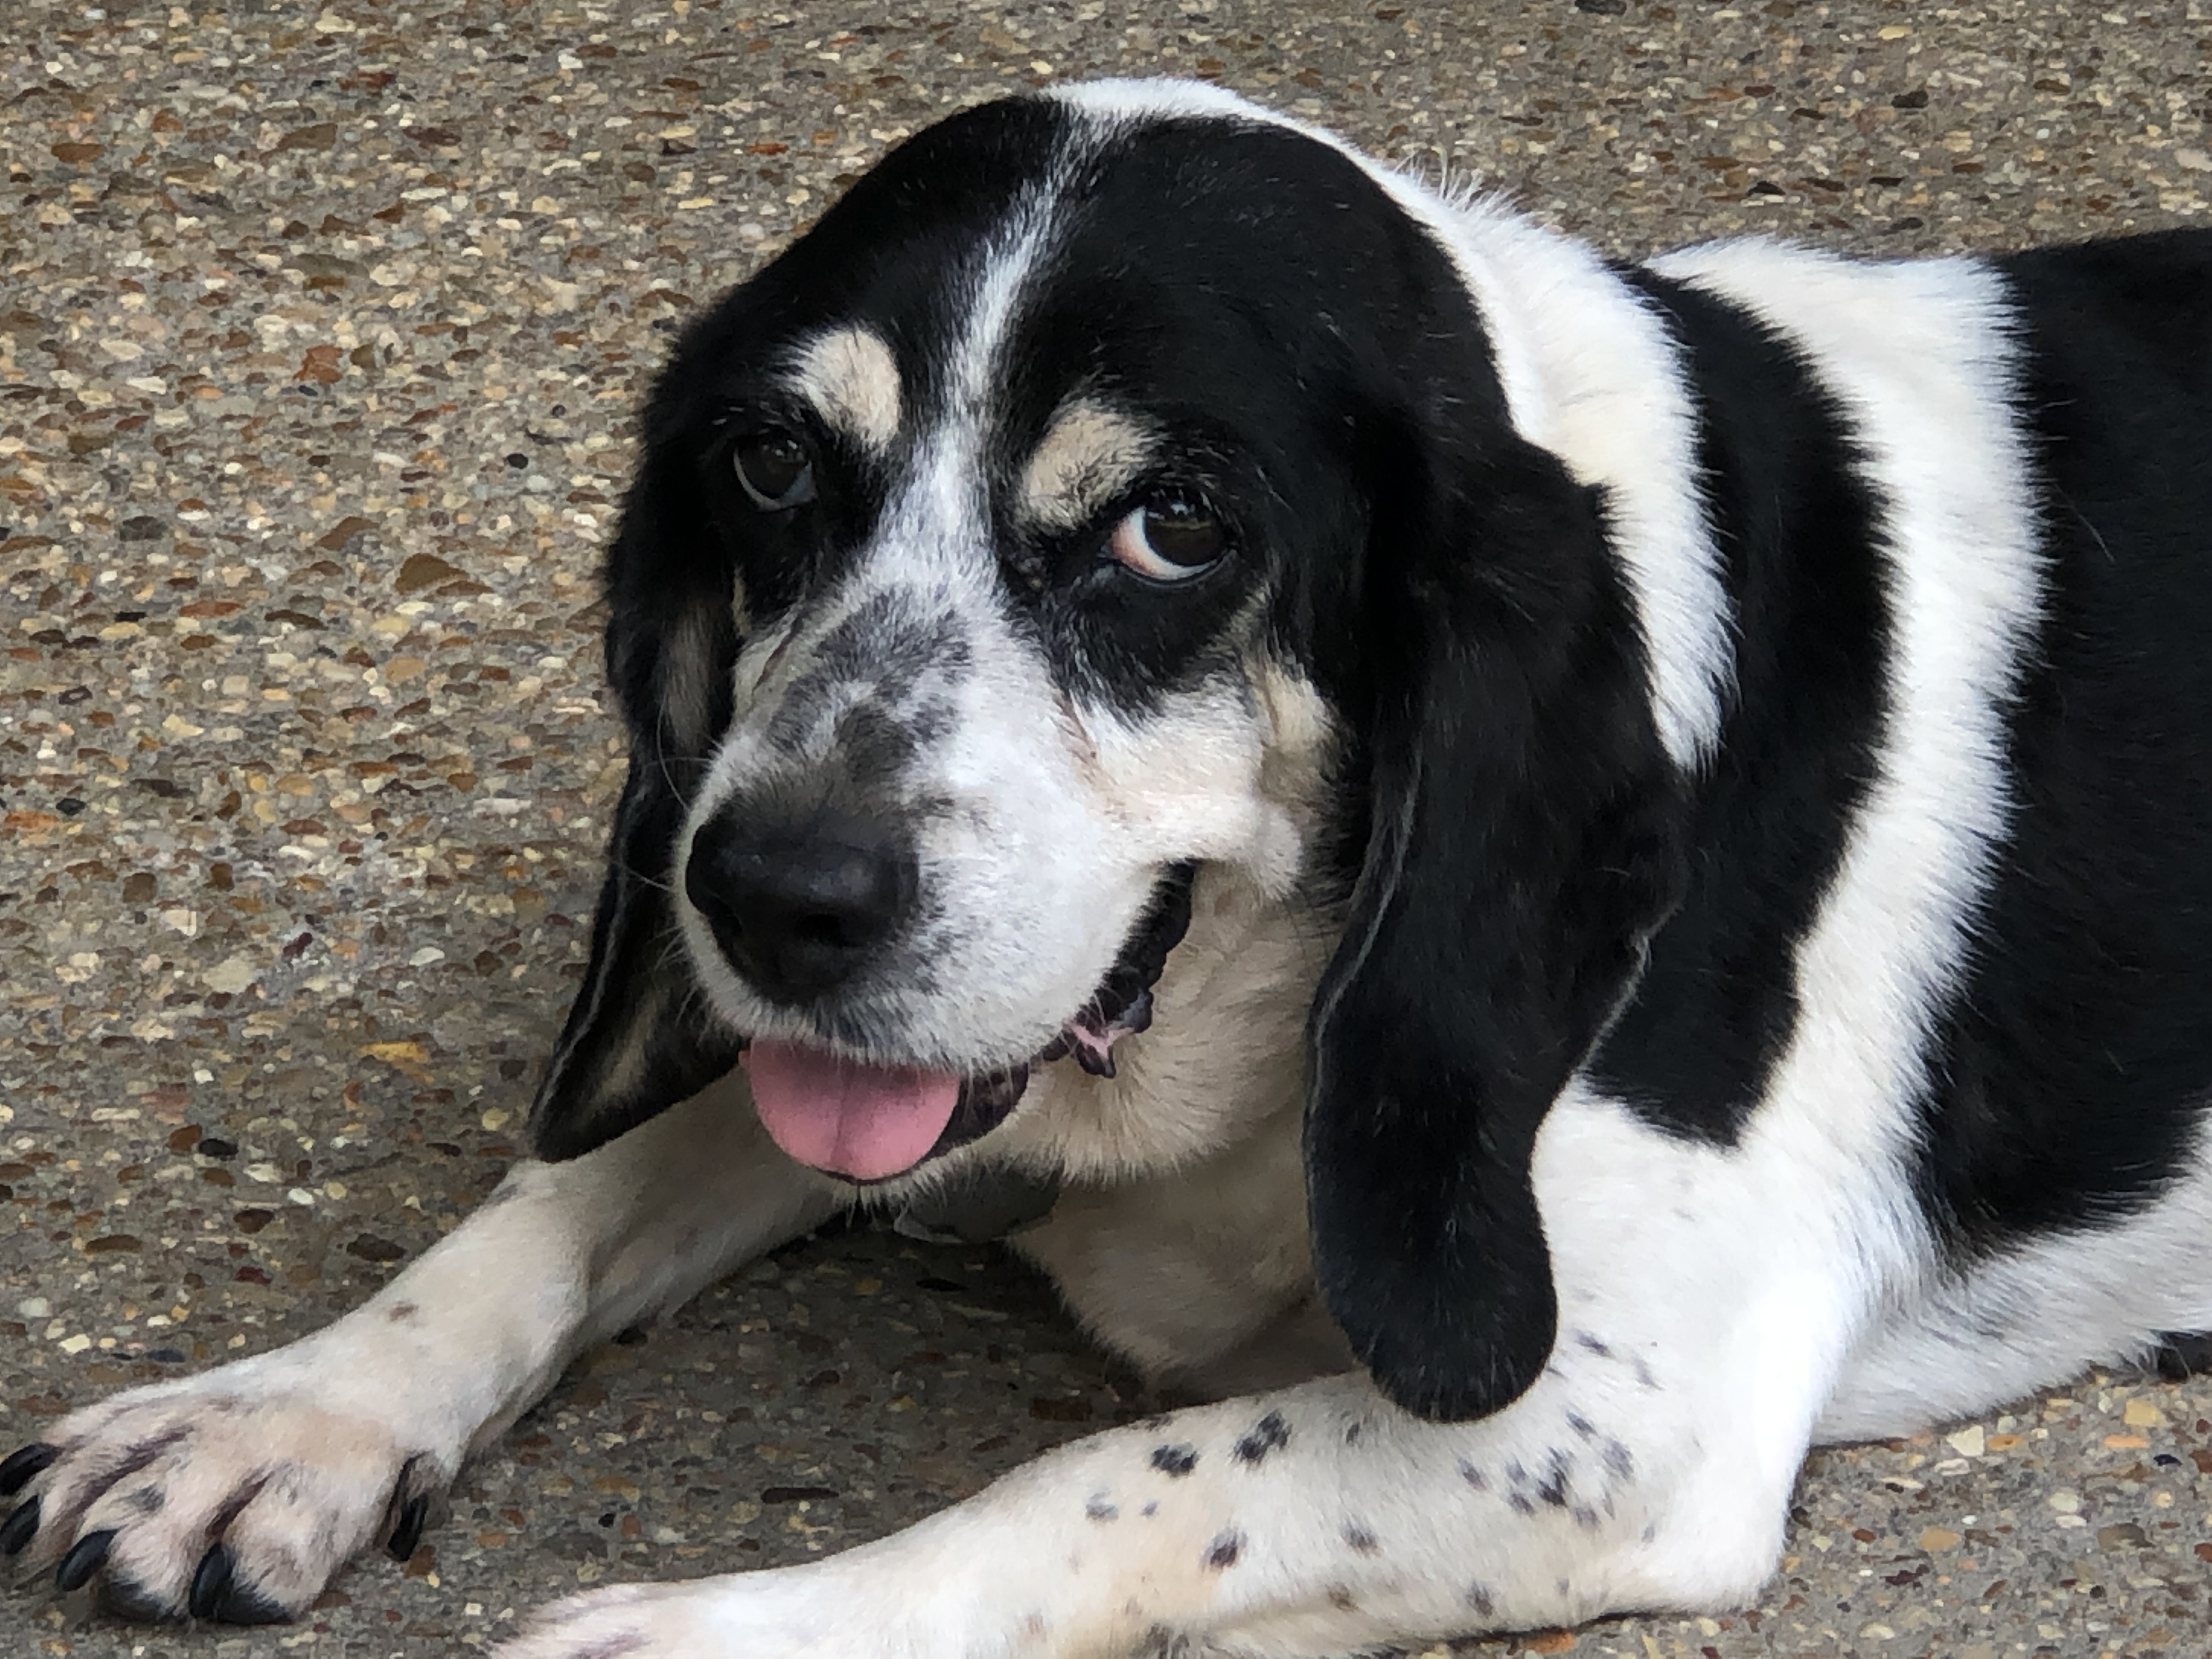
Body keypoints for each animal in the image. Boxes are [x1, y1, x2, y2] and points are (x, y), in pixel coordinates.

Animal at [4, 78, 2212, 1659]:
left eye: (1176, 524)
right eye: (772, 464)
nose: (774, 890)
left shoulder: (1616, 1420)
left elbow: (1107, 1482)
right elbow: (564, 1192)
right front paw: (280, 1410)